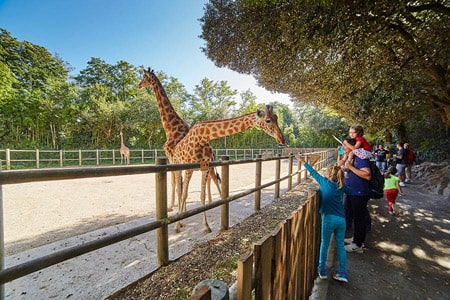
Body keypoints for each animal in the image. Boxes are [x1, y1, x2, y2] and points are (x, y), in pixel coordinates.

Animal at [136, 68, 222, 213]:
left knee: (215, 180)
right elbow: (178, 185)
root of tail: (212, 151)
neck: (170, 128)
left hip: (208, 166)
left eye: (144, 77)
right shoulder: (175, 161)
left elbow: (176, 185)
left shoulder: (172, 158)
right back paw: (210, 202)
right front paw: (177, 208)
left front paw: (175, 209)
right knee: (211, 180)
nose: (138, 85)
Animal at [172, 104, 284, 233]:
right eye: (268, 120)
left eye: (276, 117)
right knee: (180, 191)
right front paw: (177, 226)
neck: (202, 136)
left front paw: (206, 226)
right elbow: (184, 194)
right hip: (178, 166)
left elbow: (202, 196)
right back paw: (179, 221)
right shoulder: (189, 168)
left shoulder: (205, 167)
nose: (282, 139)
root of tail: (176, 147)